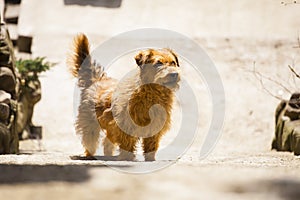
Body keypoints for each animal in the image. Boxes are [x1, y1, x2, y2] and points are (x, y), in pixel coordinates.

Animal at [68, 33, 180, 161]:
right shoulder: (124, 124)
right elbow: (127, 143)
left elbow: (151, 145)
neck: (152, 93)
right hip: (89, 123)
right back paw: (89, 155)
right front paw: (127, 158)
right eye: (158, 63)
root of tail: (97, 79)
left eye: (173, 63)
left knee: (107, 141)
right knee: (90, 141)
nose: (174, 74)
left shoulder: (155, 126)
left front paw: (150, 159)